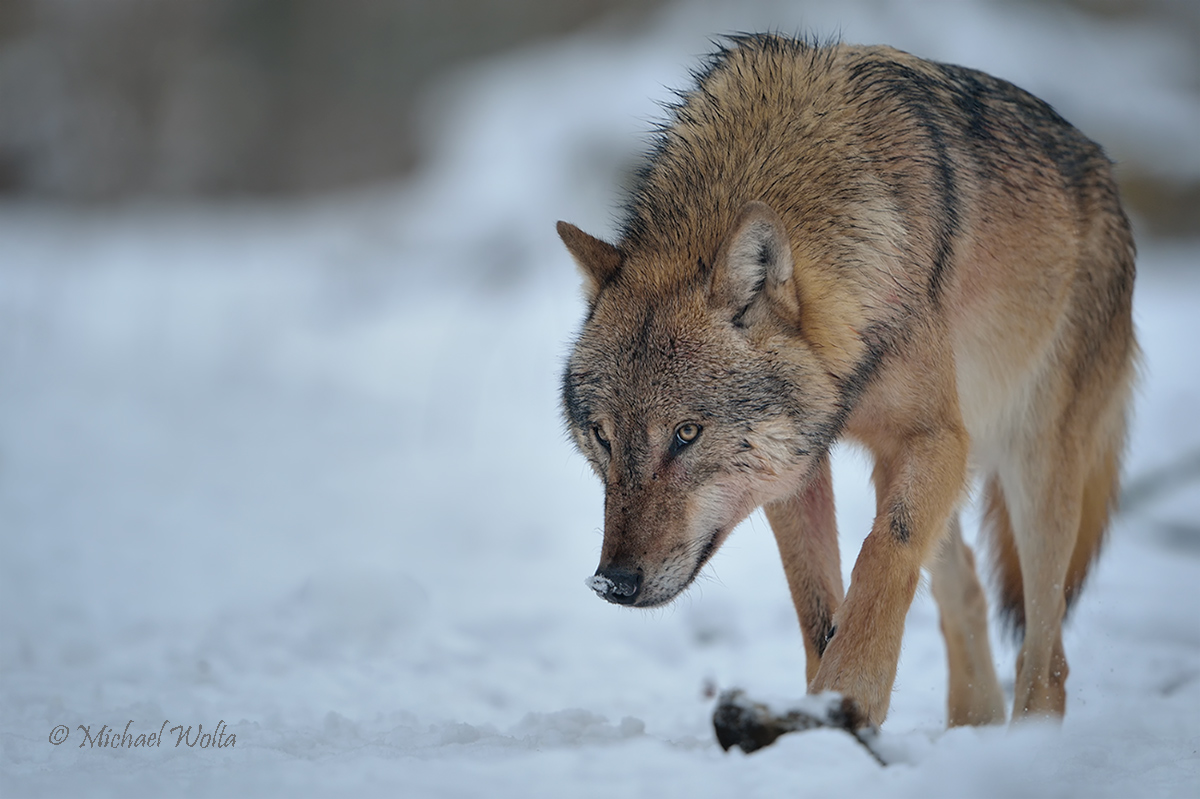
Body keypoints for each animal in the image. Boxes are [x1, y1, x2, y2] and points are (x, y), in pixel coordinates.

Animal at [556, 34, 1137, 724]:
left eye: (687, 434)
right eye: (602, 437)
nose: (612, 582)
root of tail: (1105, 174)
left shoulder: (933, 438)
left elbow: (884, 553)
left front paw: (852, 695)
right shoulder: (796, 465)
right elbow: (815, 603)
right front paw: (820, 723)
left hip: (1034, 467)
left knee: (1046, 655)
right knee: (966, 589)